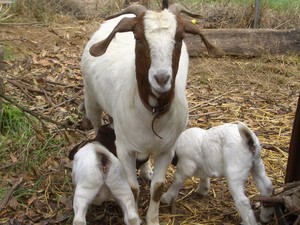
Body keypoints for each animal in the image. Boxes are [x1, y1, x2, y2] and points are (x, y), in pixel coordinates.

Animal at [81, 2, 221, 224]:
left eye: (180, 37)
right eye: (138, 37)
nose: (162, 79)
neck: (152, 111)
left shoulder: (167, 149)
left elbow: (157, 188)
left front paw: (152, 218)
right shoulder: (125, 150)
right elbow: (132, 189)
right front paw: (134, 217)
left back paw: (146, 171)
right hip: (91, 100)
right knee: (96, 125)